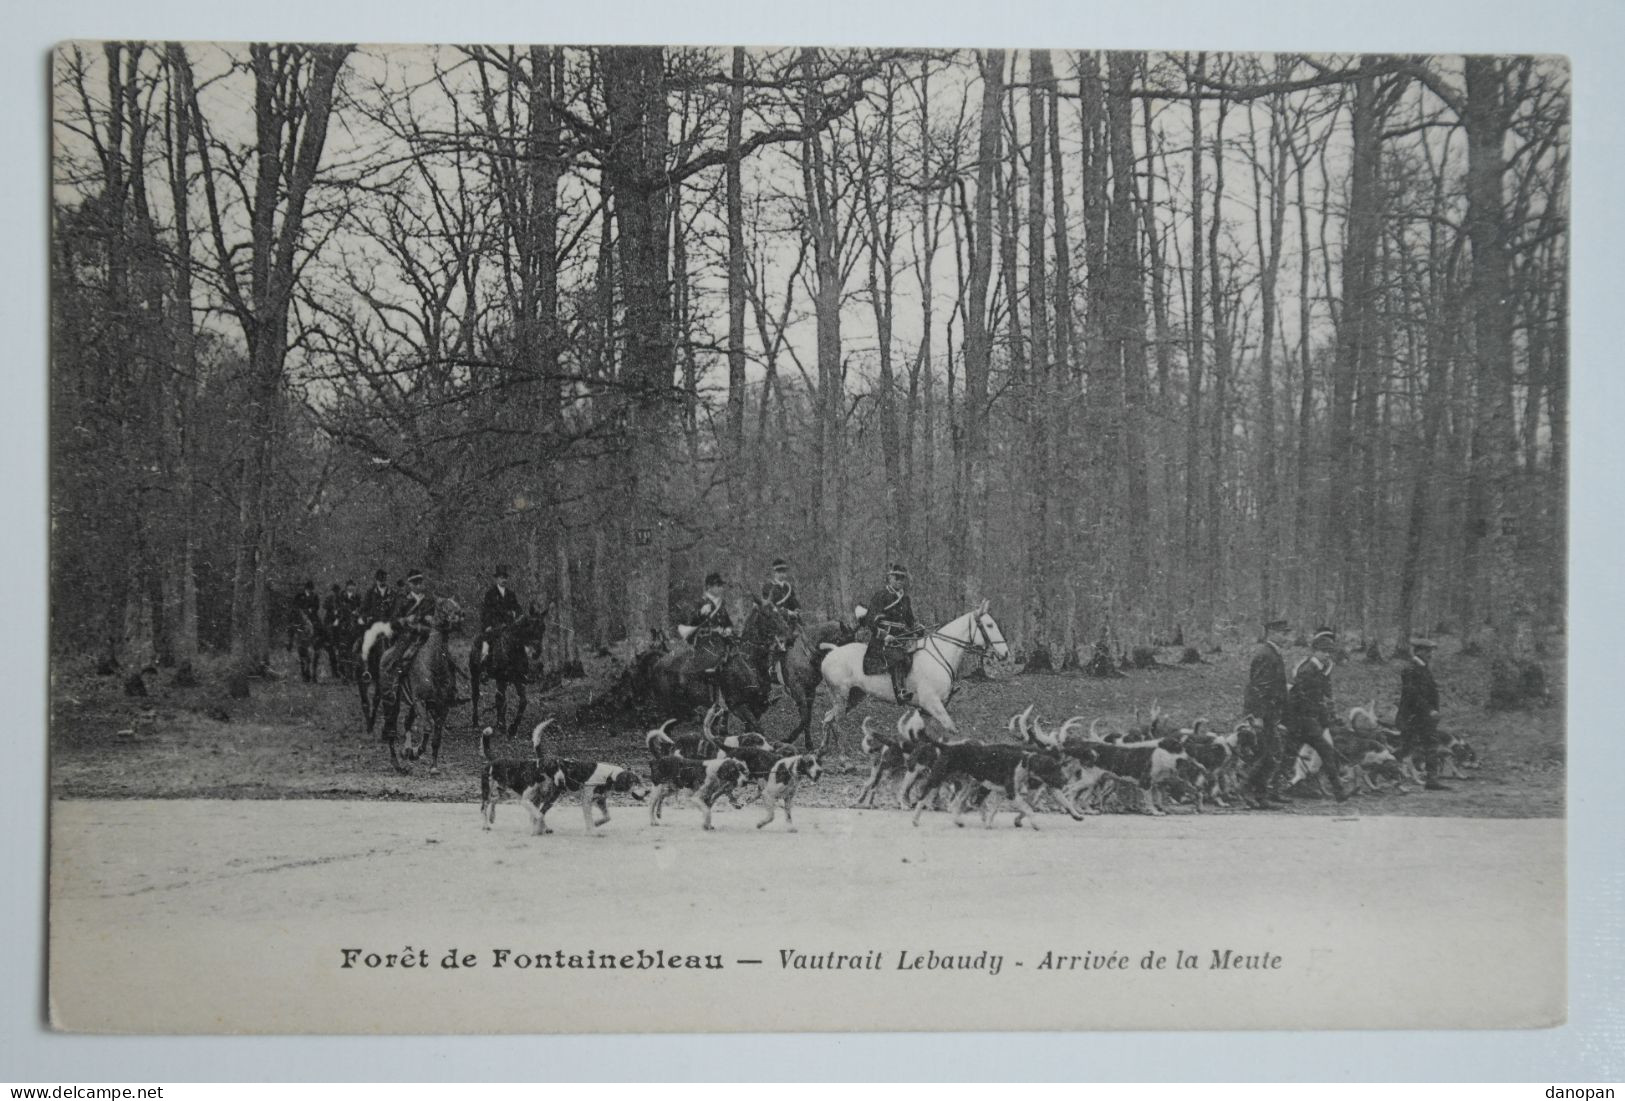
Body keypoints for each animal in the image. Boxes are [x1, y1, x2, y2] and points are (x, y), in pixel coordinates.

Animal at [375, 600, 464, 772]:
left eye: (456, 605)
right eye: (443, 606)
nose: (461, 617)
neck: (434, 666)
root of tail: (386, 654)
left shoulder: (443, 706)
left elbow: (437, 738)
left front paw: (433, 766)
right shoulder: (420, 702)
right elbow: (428, 728)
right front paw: (417, 752)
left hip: (412, 705)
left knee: (407, 722)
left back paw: (405, 751)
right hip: (392, 701)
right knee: (391, 729)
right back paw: (396, 762)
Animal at [468, 604, 549, 740]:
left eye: (543, 627)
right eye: (529, 626)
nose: (536, 653)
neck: (512, 648)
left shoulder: (517, 679)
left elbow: (523, 701)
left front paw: (512, 728)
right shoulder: (505, 677)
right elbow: (503, 700)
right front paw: (505, 727)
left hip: (501, 680)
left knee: (499, 699)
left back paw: (500, 724)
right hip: (475, 674)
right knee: (476, 696)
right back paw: (475, 723)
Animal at [786, 620, 864, 750]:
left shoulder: (810, 690)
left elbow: (807, 717)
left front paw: (807, 743)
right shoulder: (797, 689)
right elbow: (805, 717)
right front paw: (791, 738)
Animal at [819, 600, 1007, 746]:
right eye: (989, 625)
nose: (1005, 653)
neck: (941, 654)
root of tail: (833, 651)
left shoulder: (926, 710)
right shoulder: (932, 703)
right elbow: (951, 729)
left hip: (855, 696)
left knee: (828, 718)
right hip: (840, 696)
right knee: (836, 722)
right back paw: (843, 757)